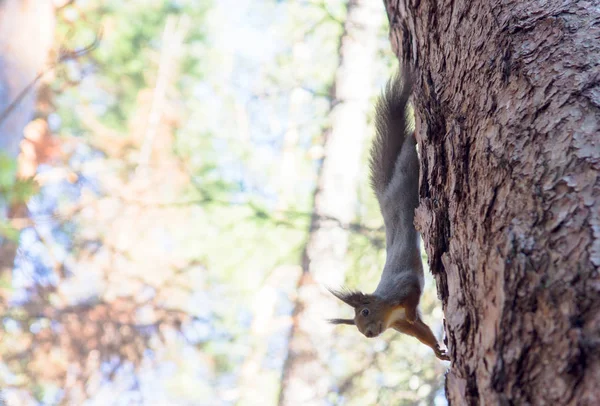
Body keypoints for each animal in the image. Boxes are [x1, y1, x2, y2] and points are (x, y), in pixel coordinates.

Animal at [328, 70, 450, 362]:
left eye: (365, 311)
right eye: (356, 326)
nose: (369, 334)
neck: (387, 307)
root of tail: (384, 196)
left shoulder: (403, 286)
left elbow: (413, 294)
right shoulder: (401, 325)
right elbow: (421, 332)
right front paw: (438, 350)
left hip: (408, 169)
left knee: (406, 149)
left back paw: (415, 135)